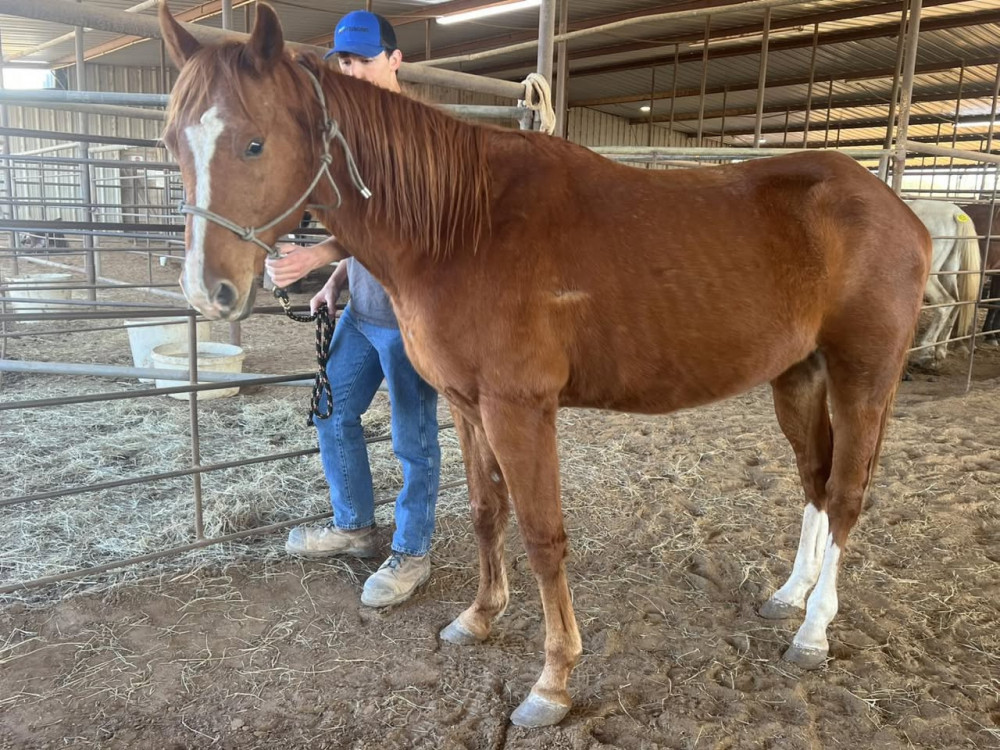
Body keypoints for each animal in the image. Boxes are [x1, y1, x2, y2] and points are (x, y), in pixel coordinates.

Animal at [158, 3, 931, 728]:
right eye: (171, 141)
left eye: (254, 142)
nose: (207, 290)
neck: (462, 226)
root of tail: (901, 212)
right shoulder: (468, 406)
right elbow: (484, 513)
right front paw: (477, 618)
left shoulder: (520, 409)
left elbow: (541, 535)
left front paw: (552, 682)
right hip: (797, 376)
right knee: (816, 483)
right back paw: (790, 595)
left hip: (863, 378)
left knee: (847, 495)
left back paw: (813, 631)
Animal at [903, 200, 982, 365]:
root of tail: (956, 213)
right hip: (949, 270)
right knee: (956, 302)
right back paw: (940, 348)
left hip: (931, 276)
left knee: (945, 301)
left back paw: (926, 350)